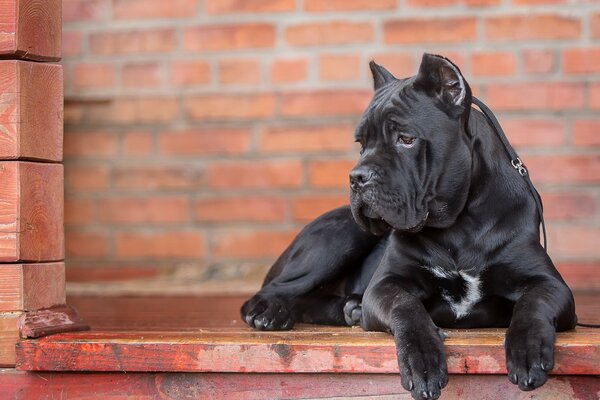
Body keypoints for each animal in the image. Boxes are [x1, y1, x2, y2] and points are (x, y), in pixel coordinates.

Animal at [240, 54, 576, 400]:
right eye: (361, 143)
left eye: (406, 139)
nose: (357, 177)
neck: (459, 224)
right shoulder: (386, 284)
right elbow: (407, 308)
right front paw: (423, 361)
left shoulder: (550, 284)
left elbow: (533, 305)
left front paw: (527, 350)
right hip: (340, 236)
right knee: (273, 289)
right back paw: (271, 313)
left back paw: (349, 309)